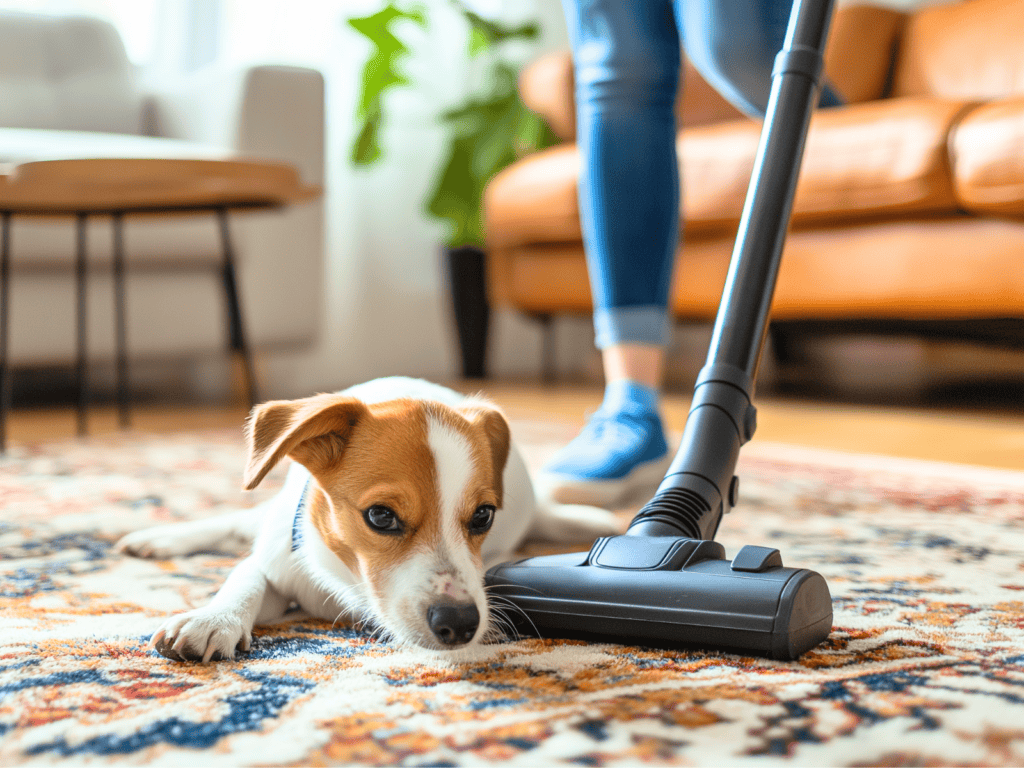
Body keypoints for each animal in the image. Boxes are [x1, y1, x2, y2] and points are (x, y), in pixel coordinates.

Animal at [116, 376, 618, 663]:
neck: (345, 582)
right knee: (241, 523)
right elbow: (247, 576)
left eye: (482, 516)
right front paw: (213, 618)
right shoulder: (278, 560)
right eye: (380, 516)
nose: (460, 623)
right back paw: (159, 537)